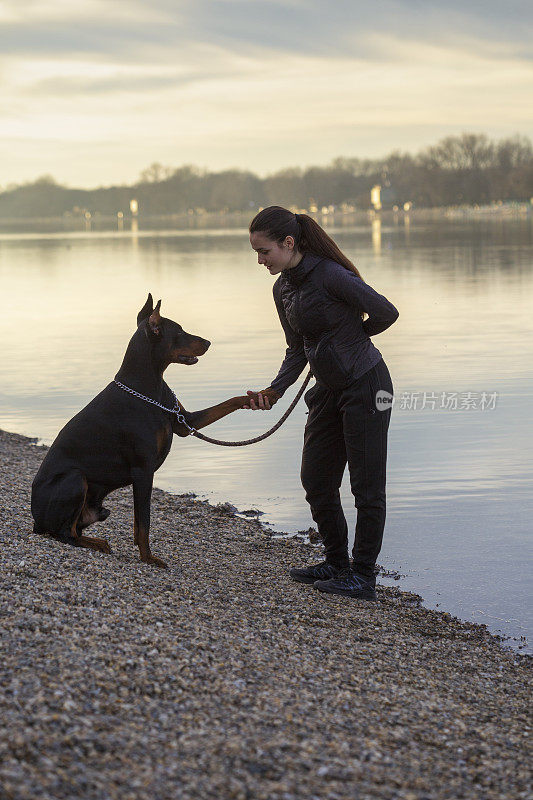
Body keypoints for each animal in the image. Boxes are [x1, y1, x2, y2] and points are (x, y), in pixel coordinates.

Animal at [32, 296, 248, 568]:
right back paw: (97, 543)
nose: (208, 342)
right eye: (179, 332)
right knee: (65, 533)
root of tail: (35, 520)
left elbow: (229, 402)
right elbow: (144, 522)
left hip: (99, 509)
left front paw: (263, 396)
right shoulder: (143, 470)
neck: (148, 386)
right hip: (75, 479)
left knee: (72, 530)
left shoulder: (184, 421)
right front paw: (149, 558)